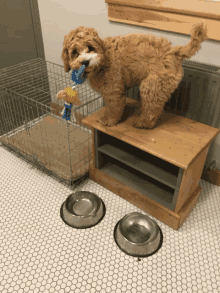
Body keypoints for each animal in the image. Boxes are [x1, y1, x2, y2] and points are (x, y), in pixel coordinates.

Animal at [61, 22, 208, 127]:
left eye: (90, 48)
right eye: (75, 52)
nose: (85, 62)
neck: (103, 59)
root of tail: (174, 50)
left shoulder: (113, 90)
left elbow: (113, 107)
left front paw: (109, 120)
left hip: (152, 86)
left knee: (152, 110)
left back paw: (142, 122)